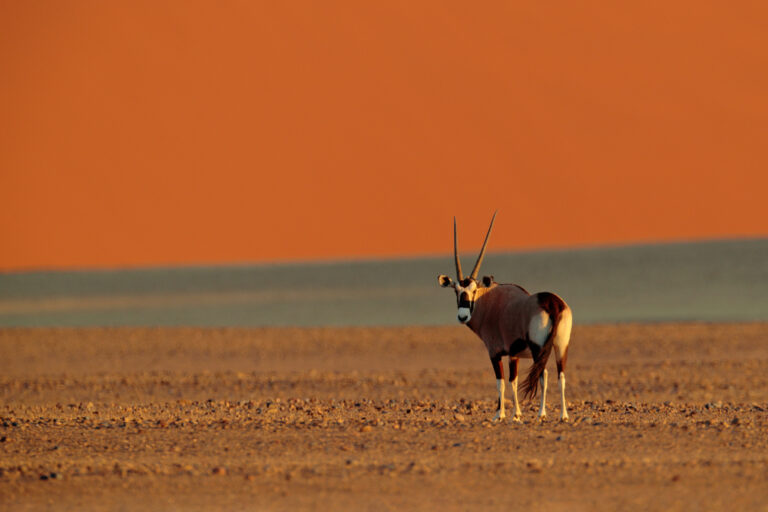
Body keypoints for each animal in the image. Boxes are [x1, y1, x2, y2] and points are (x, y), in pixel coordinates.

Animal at [437, 212, 573, 422]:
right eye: (456, 290)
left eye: (473, 290)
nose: (463, 316)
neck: (490, 301)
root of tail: (553, 304)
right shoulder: (514, 354)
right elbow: (513, 381)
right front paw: (516, 414)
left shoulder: (495, 352)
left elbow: (501, 382)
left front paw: (499, 415)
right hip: (560, 346)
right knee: (561, 376)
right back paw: (563, 415)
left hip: (538, 348)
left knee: (543, 375)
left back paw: (542, 413)